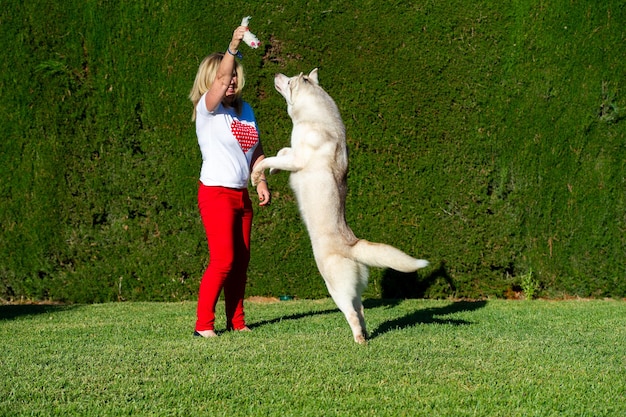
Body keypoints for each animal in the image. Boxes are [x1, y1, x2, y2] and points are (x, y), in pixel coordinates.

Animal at [251, 69, 426, 342]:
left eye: (289, 81)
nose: (277, 73)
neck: (315, 118)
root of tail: (353, 245)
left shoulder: (299, 158)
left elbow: (268, 158)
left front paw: (260, 171)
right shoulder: (293, 152)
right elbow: (281, 151)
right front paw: (274, 169)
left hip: (335, 288)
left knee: (352, 314)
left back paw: (359, 340)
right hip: (353, 291)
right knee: (362, 310)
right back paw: (365, 335)